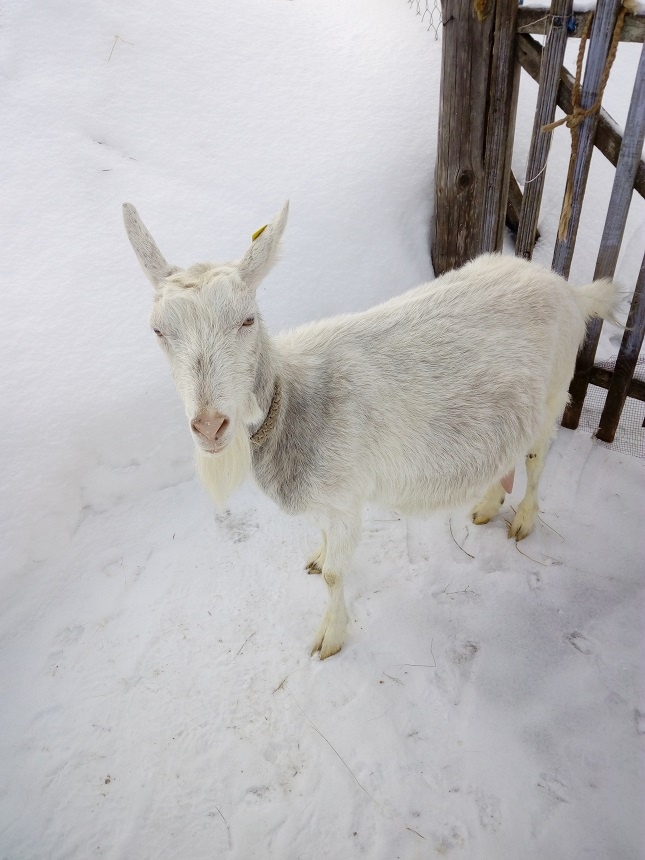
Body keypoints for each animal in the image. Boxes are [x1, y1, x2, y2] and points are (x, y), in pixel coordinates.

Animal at [122, 202, 620, 660]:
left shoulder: (343, 495)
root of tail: (569, 290)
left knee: (536, 458)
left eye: (248, 320)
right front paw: (318, 556)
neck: (294, 398)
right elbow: (325, 549)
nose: (210, 426)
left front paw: (330, 637)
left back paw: (522, 521)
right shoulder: (327, 499)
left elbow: (335, 577)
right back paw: (486, 504)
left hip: (555, 390)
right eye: (158, 331)